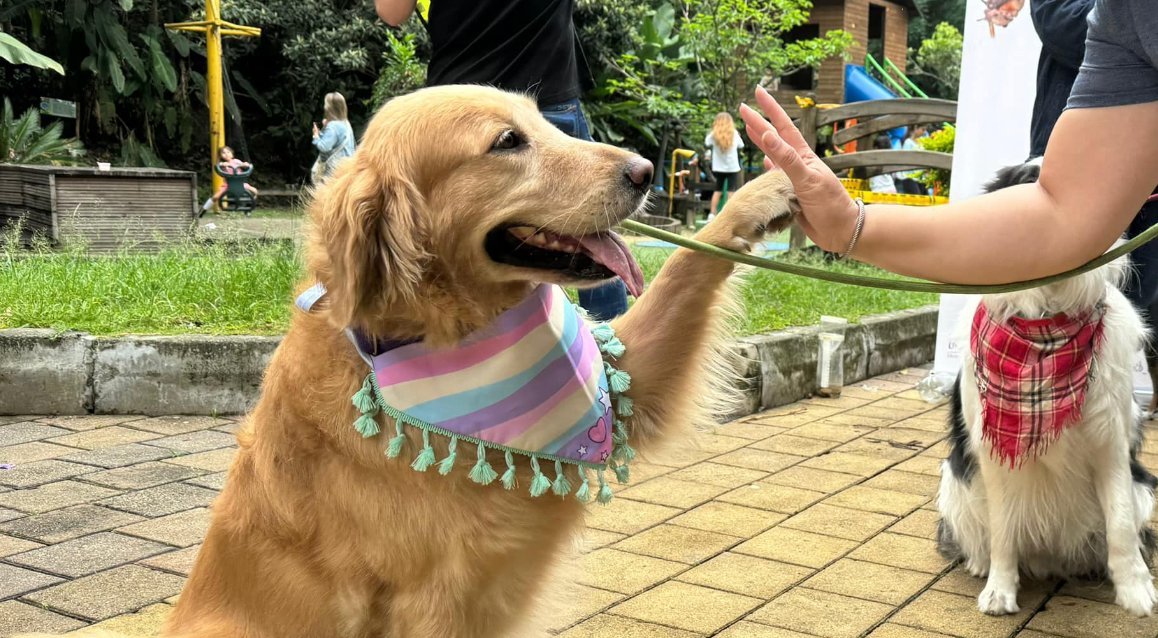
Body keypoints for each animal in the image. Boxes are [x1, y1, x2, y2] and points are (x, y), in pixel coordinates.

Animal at [15, 86, 796, 638]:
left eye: (543, 124)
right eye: (507, 142)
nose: (643, 170)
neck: (446, 340)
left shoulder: (621, 384)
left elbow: (689, 264)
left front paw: (771, 186)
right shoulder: (434, 596)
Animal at [931, 158, 1158, 620]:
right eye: (1024, 184)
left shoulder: (1110, 441)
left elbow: (1121, 524)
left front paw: (1136, 591)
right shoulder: (992, 451)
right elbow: (1003, 529)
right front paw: (1000, 591)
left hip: (1144, 485)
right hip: (955, 478)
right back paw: (980, 564)